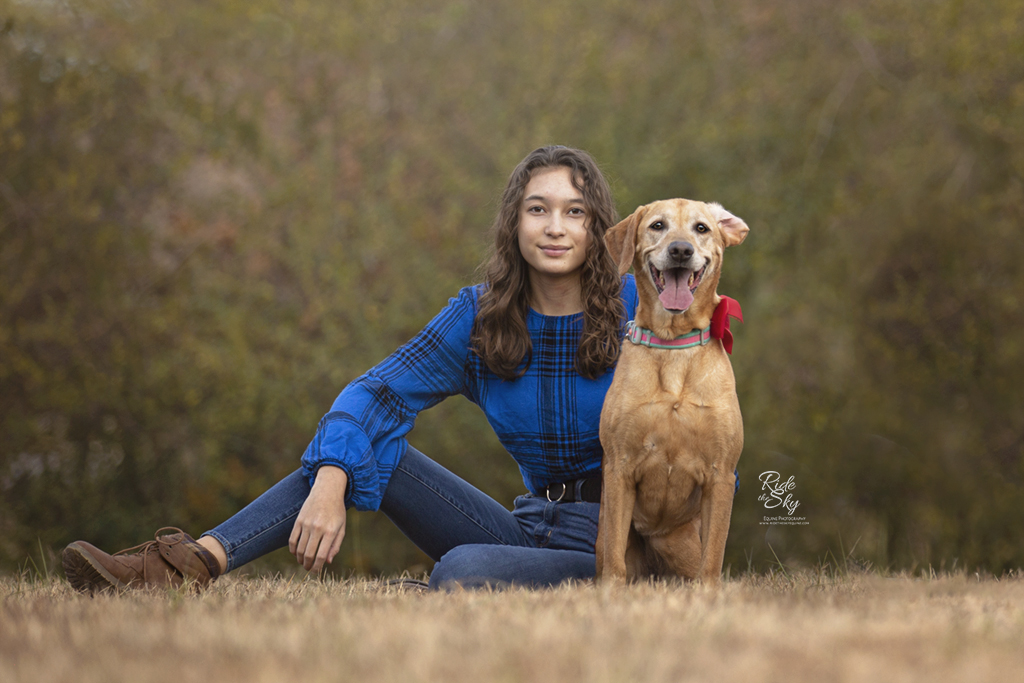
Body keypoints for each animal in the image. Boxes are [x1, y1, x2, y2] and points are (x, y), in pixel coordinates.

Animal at [598, 197, 749, 589]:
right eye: (657, 225)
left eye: (701, 228)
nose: (681, 250)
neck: (673, 343)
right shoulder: (619, 467)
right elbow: (614, 558)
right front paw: (611, 593)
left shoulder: (721, 473)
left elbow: (714, 555)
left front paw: (708, 594)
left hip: (682, 544)